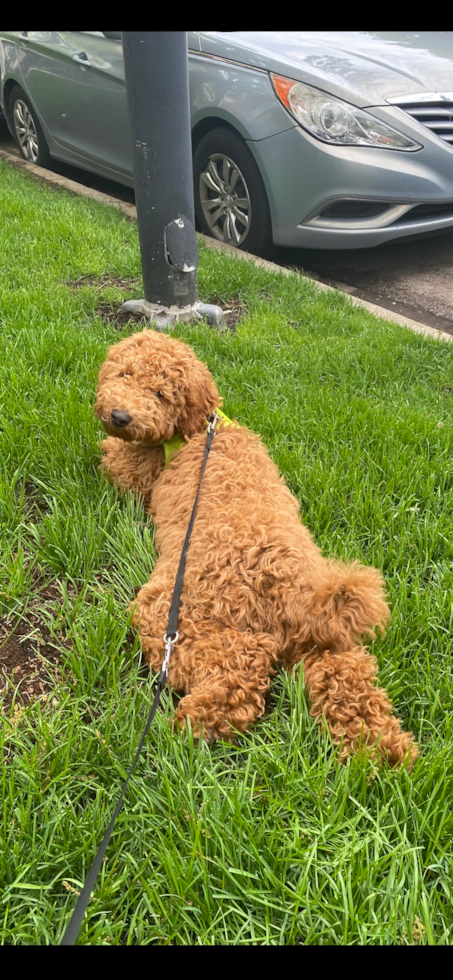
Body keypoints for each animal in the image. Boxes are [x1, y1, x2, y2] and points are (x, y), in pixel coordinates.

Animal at [94, 332, 416, 764]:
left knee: (243, 662)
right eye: (125, 373)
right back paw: (383, 752)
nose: (120, 416)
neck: (198, 430)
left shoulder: (133, 474)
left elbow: (108, 458)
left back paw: (204, 722)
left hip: (175, 614)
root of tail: (293, 592)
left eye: (160, 393)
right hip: (328, 646)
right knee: (348, 682)